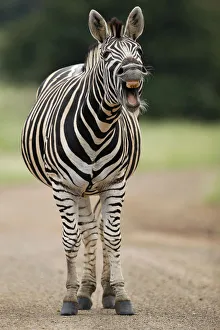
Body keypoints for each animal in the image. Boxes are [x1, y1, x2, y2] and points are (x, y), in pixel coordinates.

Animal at [21, 6, 148, 316]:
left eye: (138, 50)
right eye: (106, 55)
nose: (133, 72)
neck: (99, 128)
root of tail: (77, 66)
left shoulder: (115, 183)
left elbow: (113, 237)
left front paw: (122, 294)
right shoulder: (62, 186)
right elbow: (71, 239)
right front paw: (69, 297)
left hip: (96, 187)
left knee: (99, 230)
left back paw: (106, 291)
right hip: (77, 189)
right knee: (88, 231)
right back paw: (85, 291)